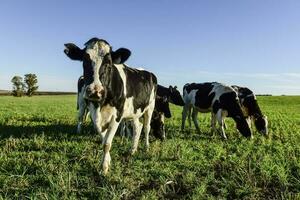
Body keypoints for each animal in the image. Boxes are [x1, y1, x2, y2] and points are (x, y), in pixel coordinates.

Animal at [63, 38, 157, 175]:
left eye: (108, 63)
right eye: (84, 61)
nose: (95, 91)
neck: (102, 103)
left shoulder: (117, 115)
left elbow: (107, 143)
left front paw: (104, 169)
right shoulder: (94, 113)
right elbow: (103, 138)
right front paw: (108, 160)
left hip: (150, 107)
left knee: (146, 127)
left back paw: (146, 147)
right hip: (133, 111)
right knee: (137, 127)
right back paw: (132, 150)